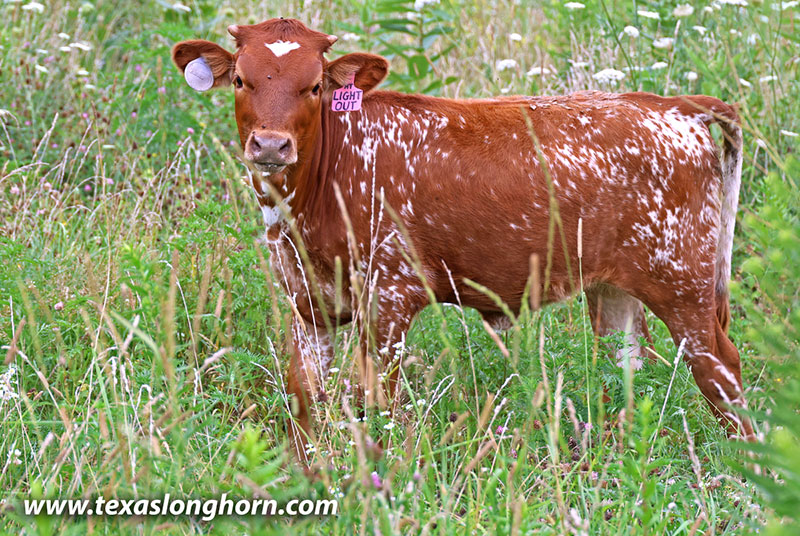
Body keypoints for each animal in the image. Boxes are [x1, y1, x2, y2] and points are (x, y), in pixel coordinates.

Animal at [172, 18, 754, 464]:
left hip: (682, 284)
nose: (271, 145)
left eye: (315, 86)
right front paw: (305, 471)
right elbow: (305, 397)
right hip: (614, 291)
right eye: (241, 80)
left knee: (721, 369)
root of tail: (672, 105)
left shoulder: (390, 297)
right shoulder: (306, 300)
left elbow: (377, 395)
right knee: (629, 367)